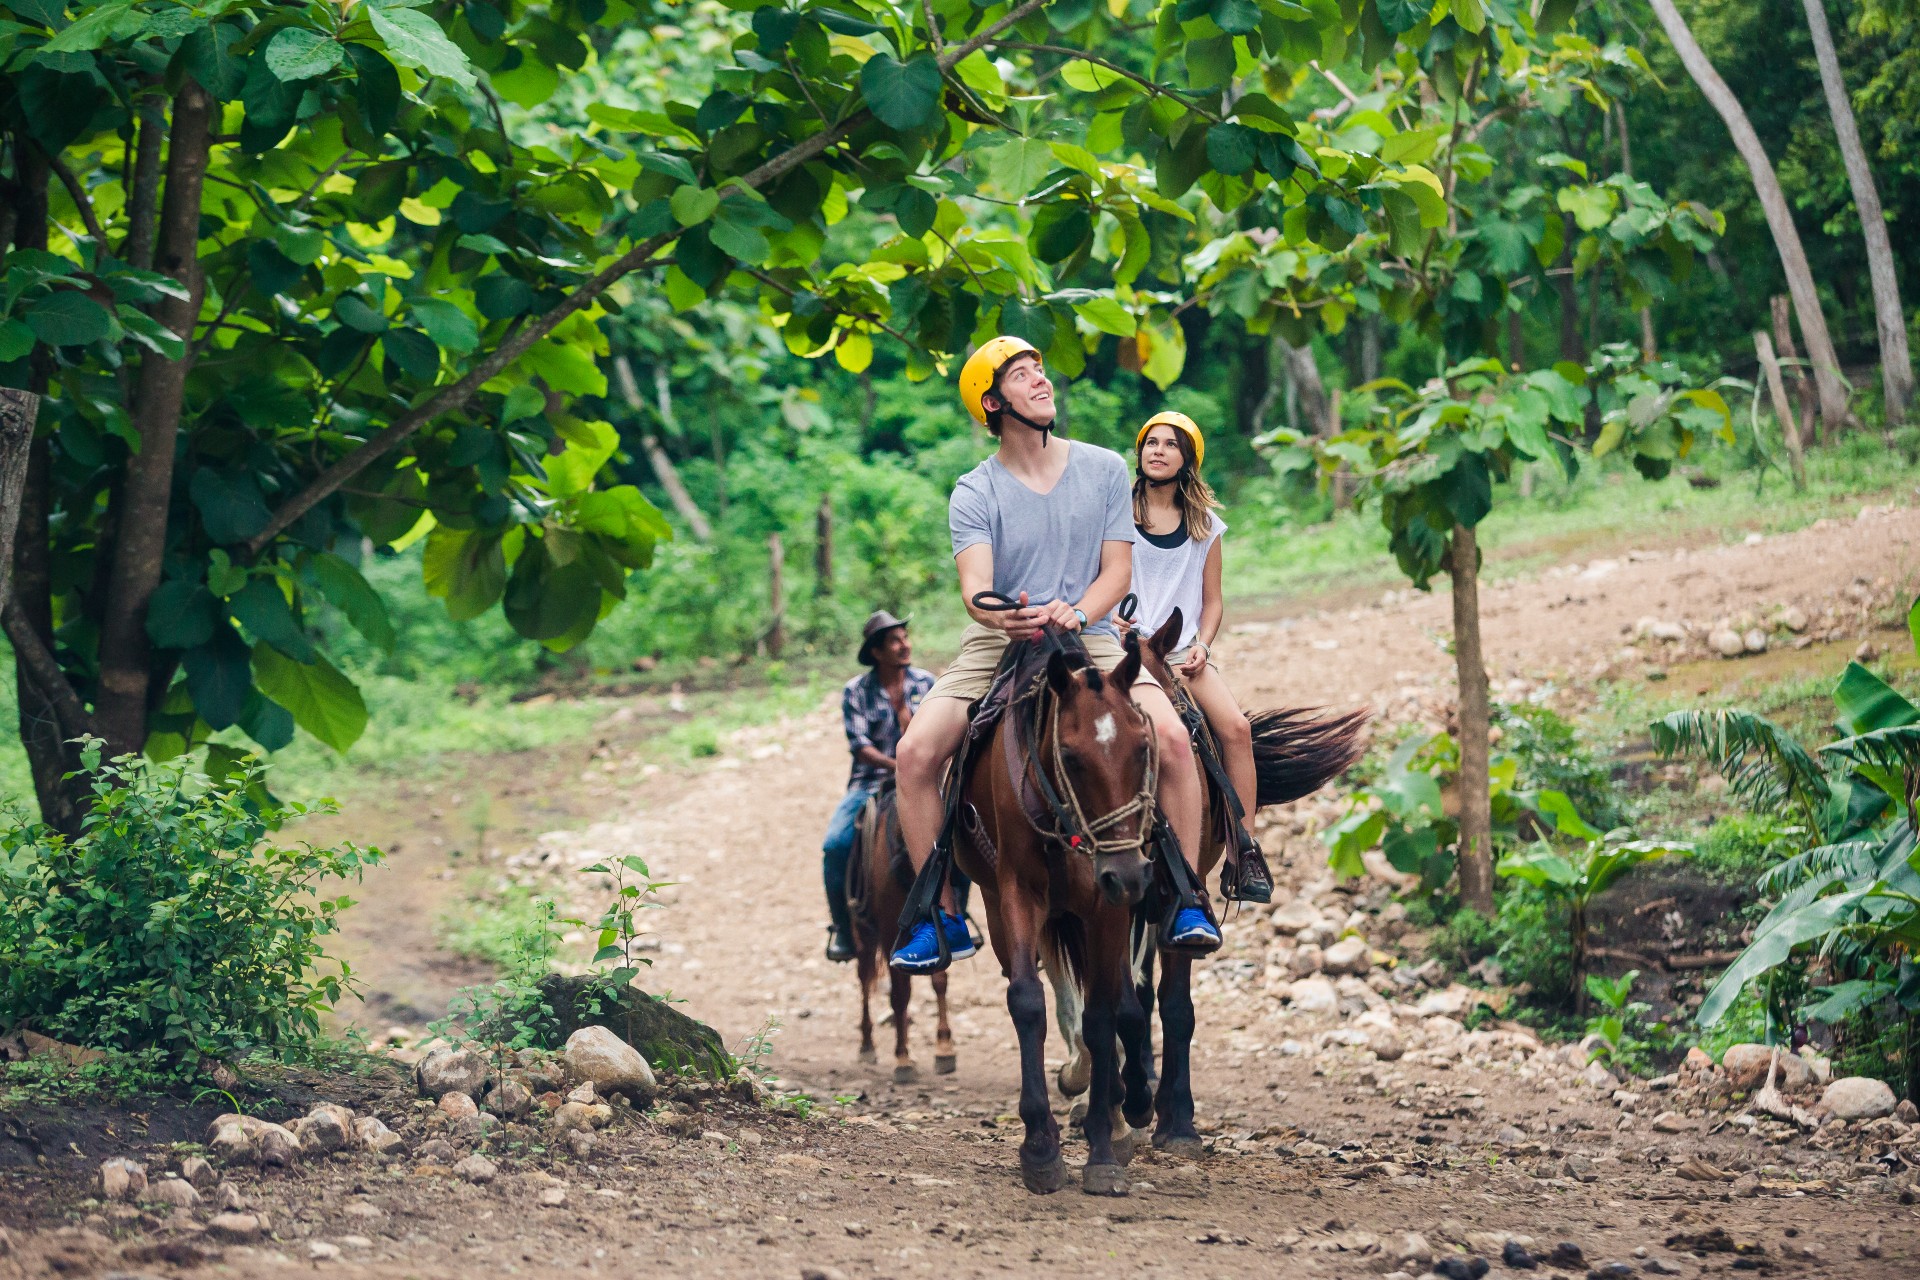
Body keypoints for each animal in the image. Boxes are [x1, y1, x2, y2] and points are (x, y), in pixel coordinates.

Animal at [844, 790, 956, 1082]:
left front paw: (944, 1048)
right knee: (865, 979)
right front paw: (903, 1058)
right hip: (863, 935)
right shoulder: (888, 930)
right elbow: (899, 993)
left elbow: (940, 981)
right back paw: (867, 1045)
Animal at [1044, 610, 1374, 1159]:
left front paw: (1176, 1121)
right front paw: (1124, 1103)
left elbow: (1176, 1005)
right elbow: (1120, 1000)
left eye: (1167, 704)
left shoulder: (1181, 894)